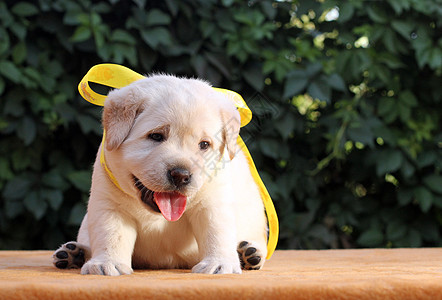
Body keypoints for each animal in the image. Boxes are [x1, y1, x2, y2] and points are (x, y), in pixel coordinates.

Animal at [51, 75, 266, 274]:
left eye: (204, 144)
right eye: (156, 136)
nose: (181, 175)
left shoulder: (213, 203)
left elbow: (216, 233)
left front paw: (219, 264)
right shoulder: (110, 205)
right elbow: (111, 235)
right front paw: (106, 263)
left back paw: (249, 254)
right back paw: (72, 253)